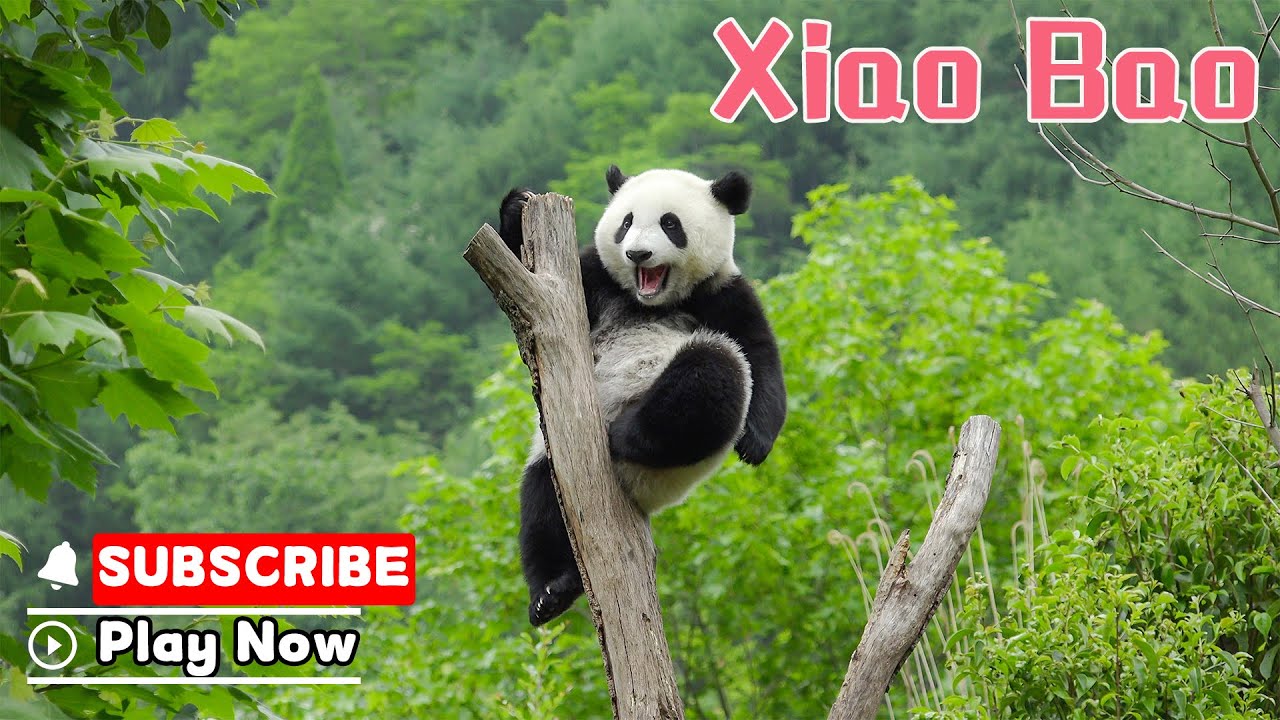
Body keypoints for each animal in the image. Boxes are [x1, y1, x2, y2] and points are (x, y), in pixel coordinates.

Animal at [497, 164, 787, 626]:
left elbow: (759, 354)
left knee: (710, 374)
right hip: (553, 455)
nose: (637, 254)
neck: (647, 301)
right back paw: (551, 592)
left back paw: (626, 434)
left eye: (671, 224)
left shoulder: (722, 293)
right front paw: (517, 207)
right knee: (542, 503)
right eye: (626, 222)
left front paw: (754, 443)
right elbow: (521, 290)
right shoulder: (590, 279)